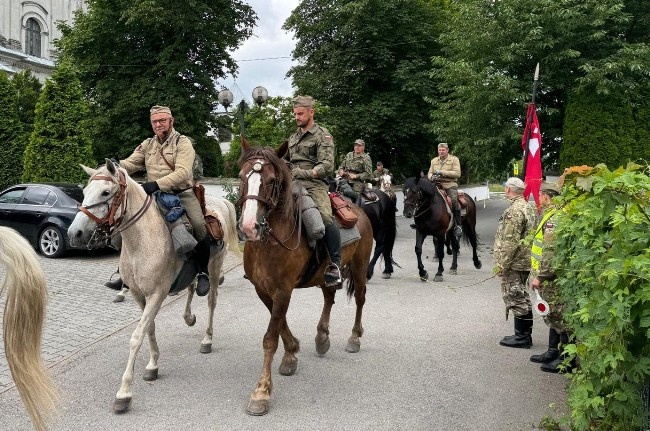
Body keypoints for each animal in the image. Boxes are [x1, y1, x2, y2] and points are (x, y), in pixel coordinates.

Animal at [67, 160, 238, 414]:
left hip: (215, 268)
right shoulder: (139, 295)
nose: (74, 233)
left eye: (105, 192)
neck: (142, 241)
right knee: (192, 288)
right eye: (85, 191)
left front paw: (124, 392)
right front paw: (152, 365)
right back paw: (189, 317)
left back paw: (207, 340)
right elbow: (149, 328)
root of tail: (221, 203)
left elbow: (137, 336)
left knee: (211, 301)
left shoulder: (157, 294)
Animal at [238, 138, 372, 416]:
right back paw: (322, 338)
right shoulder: (264, 290)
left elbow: (270, 338)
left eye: (271, 180)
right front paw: (291, 355)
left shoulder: (283, 290)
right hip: (325, 274)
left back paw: (354, 338)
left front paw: (261, 392)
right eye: (242, 176)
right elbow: (280, 325)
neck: (269, 242)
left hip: (360, 266)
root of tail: (359, 210)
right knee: (329, 297)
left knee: (360, 299)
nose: (248, 227)